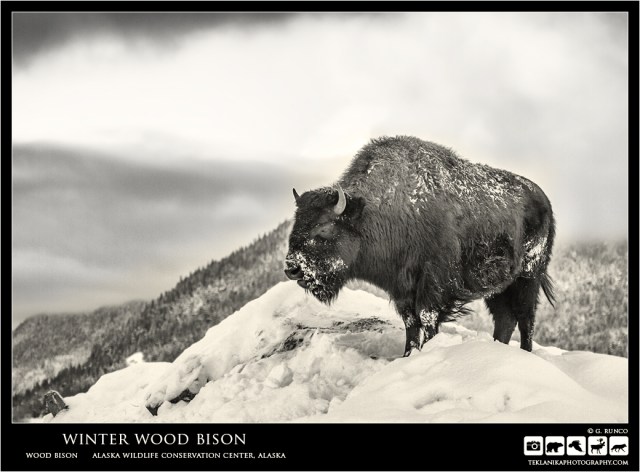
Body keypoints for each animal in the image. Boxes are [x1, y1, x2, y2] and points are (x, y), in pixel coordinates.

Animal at [285, 136, 555, 356]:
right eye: (295, 224)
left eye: (324, 228)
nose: (292, 268)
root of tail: (544, 200)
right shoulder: (402, 288)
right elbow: (411, 324)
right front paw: (408, 354)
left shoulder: (433, 284)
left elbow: (427, 319)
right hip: (499, 287)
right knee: (505, 319)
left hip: (528, 276)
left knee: (526, 318)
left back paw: (525, 353)